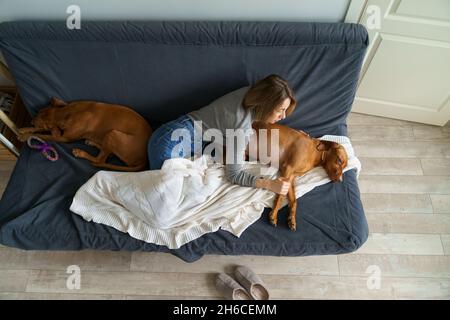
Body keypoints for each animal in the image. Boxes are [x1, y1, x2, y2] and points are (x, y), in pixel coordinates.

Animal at [18, 97, 152, 171]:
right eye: (38, 112)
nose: (31, 121)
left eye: (41, 125)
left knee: (100, 160)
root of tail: (145, 159)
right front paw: (24, 130)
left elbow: (44, 135)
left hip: (113, 134)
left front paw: (25, 136)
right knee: (107, 153)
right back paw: (92, 142)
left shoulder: (64, 138)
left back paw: (81, 152)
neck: (68, 113)